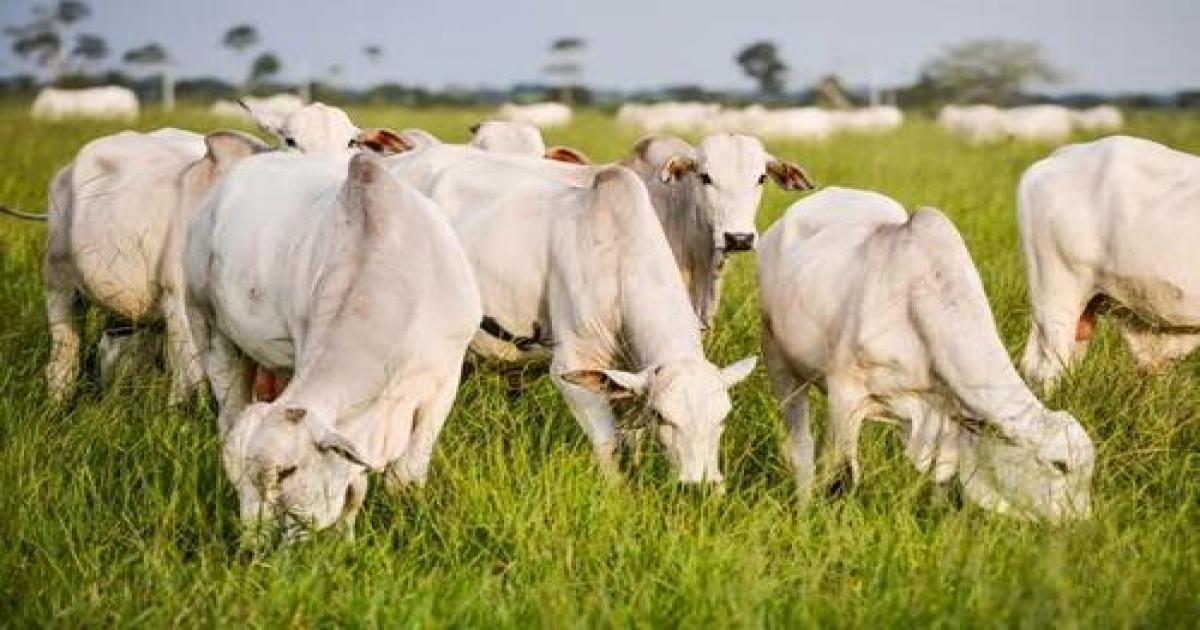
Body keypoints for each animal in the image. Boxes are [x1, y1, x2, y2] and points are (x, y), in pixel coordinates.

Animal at [184, 151, 481, 541]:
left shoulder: (445, 379)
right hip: (207, 326)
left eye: (287, 472)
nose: (253, 545)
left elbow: (403, 475)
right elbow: (355, 487)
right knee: (228, 412)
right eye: (236, 481)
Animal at [382, 147, 757, 485]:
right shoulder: (573, 365)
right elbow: (608, 446)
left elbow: (632, 440)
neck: (618, 259)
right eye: (664, 417)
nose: (701, 486)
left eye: (723, 418)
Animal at [758, 187, 1094, 521]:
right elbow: (841, 477)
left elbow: (942, 480)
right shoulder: (845, 395)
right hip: (776, 356)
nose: (1080, 524)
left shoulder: (944, 416)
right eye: (1060, 465)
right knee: (801, 447)